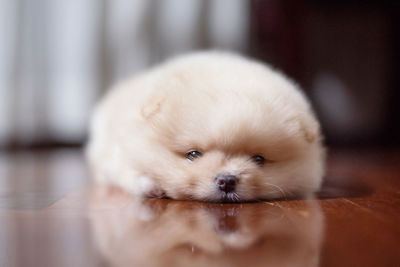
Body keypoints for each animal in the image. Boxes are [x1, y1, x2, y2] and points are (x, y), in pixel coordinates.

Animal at [87, 51, 324, 203]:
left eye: (259, 159)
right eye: (193, 154)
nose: (227, 180)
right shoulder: (116, 155)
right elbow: (130, 172)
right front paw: (152, 186)